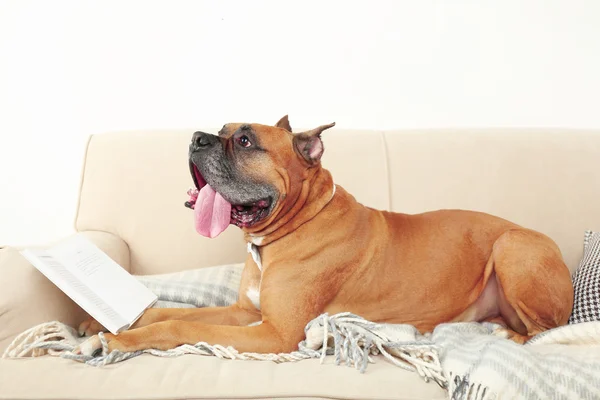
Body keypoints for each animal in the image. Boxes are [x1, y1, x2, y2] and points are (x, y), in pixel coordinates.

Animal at [77, 116, 576, 356]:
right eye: (218, 131)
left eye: (245, 142)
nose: (197, 137)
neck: (292, 225)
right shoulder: (245, 314)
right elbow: (170, 312)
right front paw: (102, 324)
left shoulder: (276, 333)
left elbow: (180, 325)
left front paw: (118, 340)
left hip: (512, 246)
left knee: (544, 332)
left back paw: (503, 336)